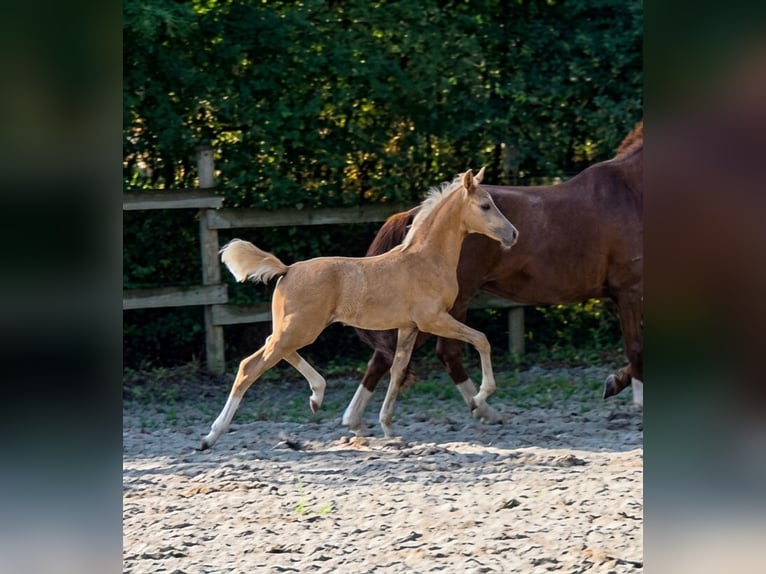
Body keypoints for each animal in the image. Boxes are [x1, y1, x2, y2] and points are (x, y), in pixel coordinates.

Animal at [200, 168, 519, 449]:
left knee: (269, 351)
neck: (425, 260)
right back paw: (210, 437)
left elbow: (398, 370)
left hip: (296, 329)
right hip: (301, 329)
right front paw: (480, 397)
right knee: (250, 367)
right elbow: (481, 339)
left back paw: (316, 396)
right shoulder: (433, 320)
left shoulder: (408, 327)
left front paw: (389, 428)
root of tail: (287, 269)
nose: (513, 234)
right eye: (485, 205)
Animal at [344, 123, 643, 430]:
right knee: (436, 353)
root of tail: (416, 215)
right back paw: (481, 408)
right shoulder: (629, 290)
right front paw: (626, 392)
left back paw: (356, 420)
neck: (631, 193)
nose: (512, 235)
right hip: (446, 306)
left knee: (397, 356)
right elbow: (635, 348)